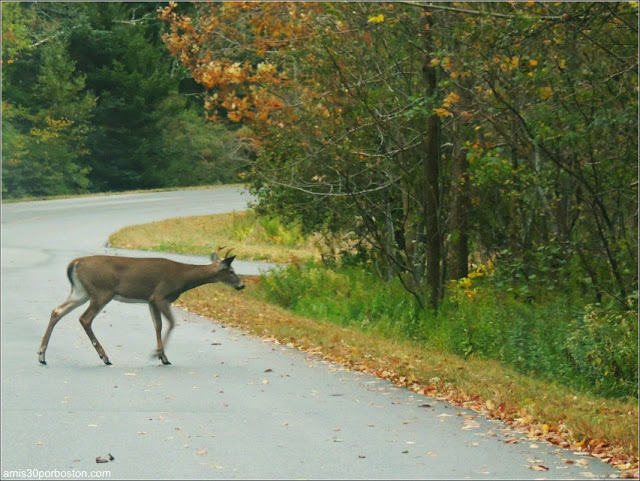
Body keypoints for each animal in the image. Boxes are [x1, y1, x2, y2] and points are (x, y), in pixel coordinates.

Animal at [37, 248, 244, 364]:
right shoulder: (161, 295)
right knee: (84, 318)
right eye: (232, 271)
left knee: (57, 311)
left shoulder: (151, 300)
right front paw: (157, 354)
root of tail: (75, 262)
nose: (242, 285)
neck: (183, 278)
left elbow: (157, 325)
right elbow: (171, 323)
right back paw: (105, 357)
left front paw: (162, 356)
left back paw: (42, 355)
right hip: (102, 291)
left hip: (81, 292)